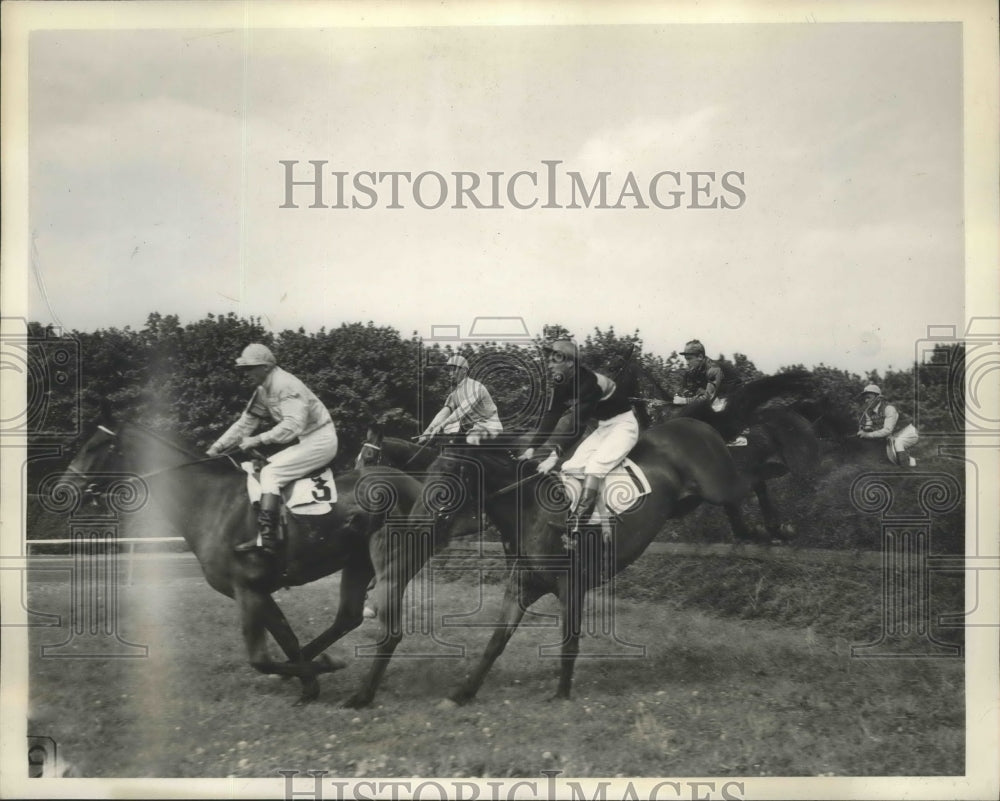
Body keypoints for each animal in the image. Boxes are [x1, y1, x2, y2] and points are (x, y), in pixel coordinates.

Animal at [55, 416, 422, 704]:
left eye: (93, 447)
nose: (62, 489)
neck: (211, 503)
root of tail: (415, 484)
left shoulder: (247, 588)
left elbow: (260, 659)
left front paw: (324, 667)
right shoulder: (256, 590)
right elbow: (286, 639)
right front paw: (308, 685)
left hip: (391, 562)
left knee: (389, 633)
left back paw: (362, 696)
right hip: (357, 563)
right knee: (347, 618)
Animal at [346, 416, 756, 708]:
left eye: (447, 476)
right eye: (428, 473)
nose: (416, 522)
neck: (530, 511)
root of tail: (697, 424)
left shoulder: (571, 586)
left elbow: (568, 644)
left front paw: (561, 695)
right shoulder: (521, 586)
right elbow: (496, 641)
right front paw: (463, 692)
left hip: (721, 485)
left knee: (753, 483)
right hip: (689, 501)